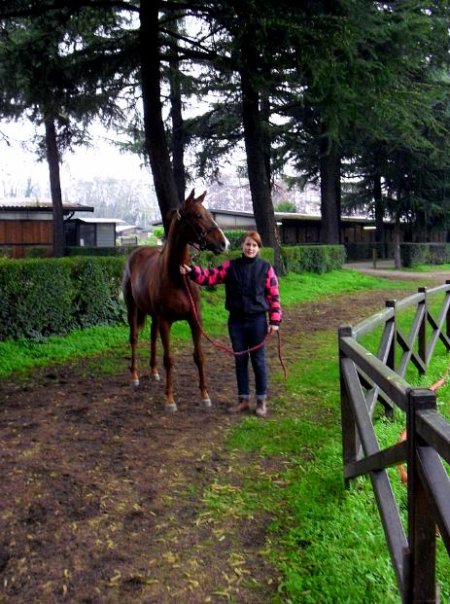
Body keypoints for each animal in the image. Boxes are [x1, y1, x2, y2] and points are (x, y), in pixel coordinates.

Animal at [122, 189, 229, 413]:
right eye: (197, 215)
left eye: (209, 213)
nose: (224, 243)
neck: (178, 278)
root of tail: (137, 252)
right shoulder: (165, 321)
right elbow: (169, 359)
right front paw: (169, 400)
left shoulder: (195, 321)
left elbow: (199, 356)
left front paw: (205, 396)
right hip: (132, 308)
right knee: (134, 338)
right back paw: (134, 376)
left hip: (153, 315)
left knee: (152, 337)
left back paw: (153, 372)